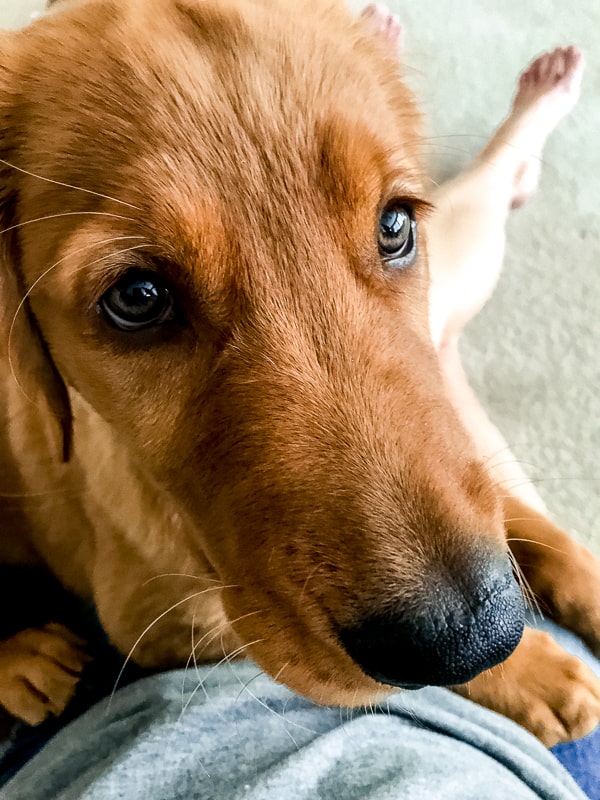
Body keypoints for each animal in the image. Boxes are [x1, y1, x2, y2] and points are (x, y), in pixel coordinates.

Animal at [0, 0, 596, 752]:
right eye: (137, 298)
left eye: (395, 224)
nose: (471, 636)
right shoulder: (159, 623)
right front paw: (532, 673)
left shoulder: (458, 456)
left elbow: (528, 522)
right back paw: (27, 663)